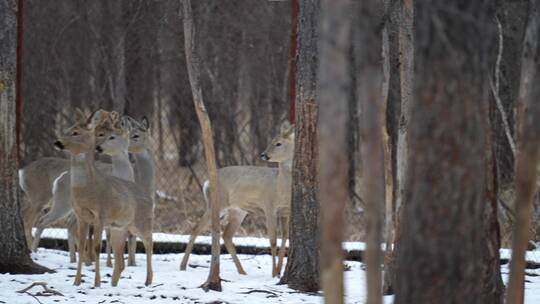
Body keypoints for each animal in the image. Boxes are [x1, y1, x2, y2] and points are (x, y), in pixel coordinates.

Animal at [54, 109, 154, 288]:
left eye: (76, 132)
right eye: (67, 129)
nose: (57, 142)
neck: (88, 190)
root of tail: (148, 196)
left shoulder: (101, 215)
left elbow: (96, 247)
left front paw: (97, 283)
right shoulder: (81, 216)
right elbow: (82, 246)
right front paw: (76, 282)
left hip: (141, 221)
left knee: (149, 242)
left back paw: (148, 280)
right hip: (119, 227)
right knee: (121, 260)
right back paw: (114, 283)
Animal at [180, 120, 294, 276]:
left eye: (278, 143)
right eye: (271, 141)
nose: (263, 155)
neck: (280, 188)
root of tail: (207, 182)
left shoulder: (285, 212)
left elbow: (285, 238)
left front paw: (278, 271)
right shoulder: (269, 206)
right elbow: (272, 240)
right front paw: (273, 273)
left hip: (238, 211)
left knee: (226, 235)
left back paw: (242, 271)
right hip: (217, 203)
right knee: (196, 228)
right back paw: (182, 267)